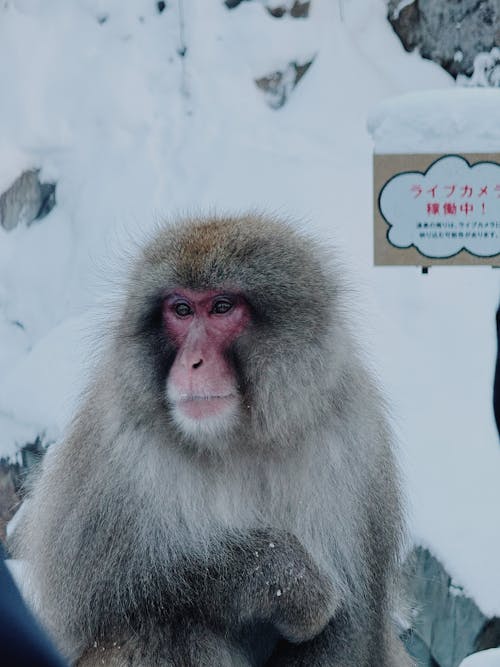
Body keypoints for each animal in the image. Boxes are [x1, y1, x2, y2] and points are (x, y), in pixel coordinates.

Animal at [11, 215, 412, 667]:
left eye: (222, 307)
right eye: (182, 310)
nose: (192, 362)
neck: (235, 439)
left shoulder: (355, 447)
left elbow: (348, 629)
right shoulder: (110, 452)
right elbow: (100, 597)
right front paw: (286, 579)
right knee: (162, 626)